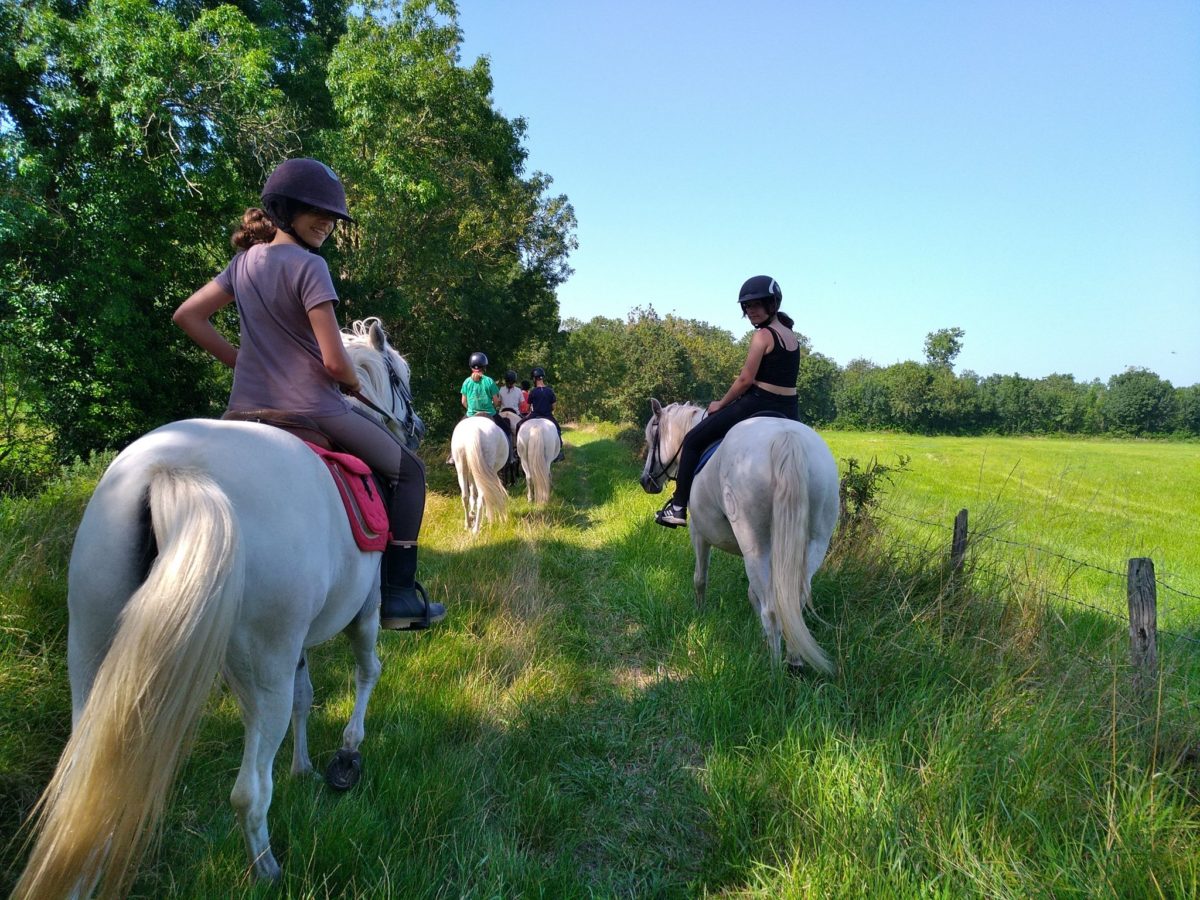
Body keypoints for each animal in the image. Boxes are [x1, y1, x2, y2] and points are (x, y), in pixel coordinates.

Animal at [14, 321, 422, 897]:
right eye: (401, 376)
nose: (417, 428)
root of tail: (170, 471)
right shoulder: (363, 614)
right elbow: (368, 672)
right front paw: (347, 755)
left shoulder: (297, 644)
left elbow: (306, 697)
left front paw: (303, 768)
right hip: (263, 666)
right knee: (249, 790)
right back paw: (268, 869)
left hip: (92, 649)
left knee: (84, 784)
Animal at [643, 400, 840, 672]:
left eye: (652, 438)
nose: (645, 481)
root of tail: (787, 439)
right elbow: (753, 594)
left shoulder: (699, 534)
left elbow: (700, 578)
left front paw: (699, 614)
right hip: (813, 546)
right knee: (794, 603)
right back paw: (794, 662)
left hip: (756, 547)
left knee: (772, 611)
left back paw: (774, 671)